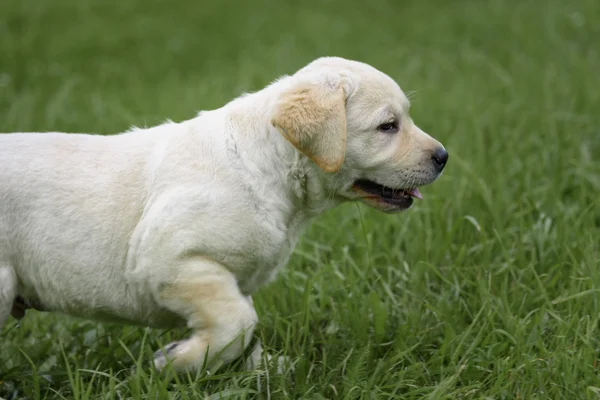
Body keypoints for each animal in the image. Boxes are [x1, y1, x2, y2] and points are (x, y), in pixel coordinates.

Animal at [0, 56, 448, 372]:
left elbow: (245, 328)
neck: (269, 167)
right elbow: (238, 321)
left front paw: (261, 370)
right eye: (387, 126)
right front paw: (177, 361)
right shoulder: (166, 259)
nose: (443, 156)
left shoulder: (233, 279)